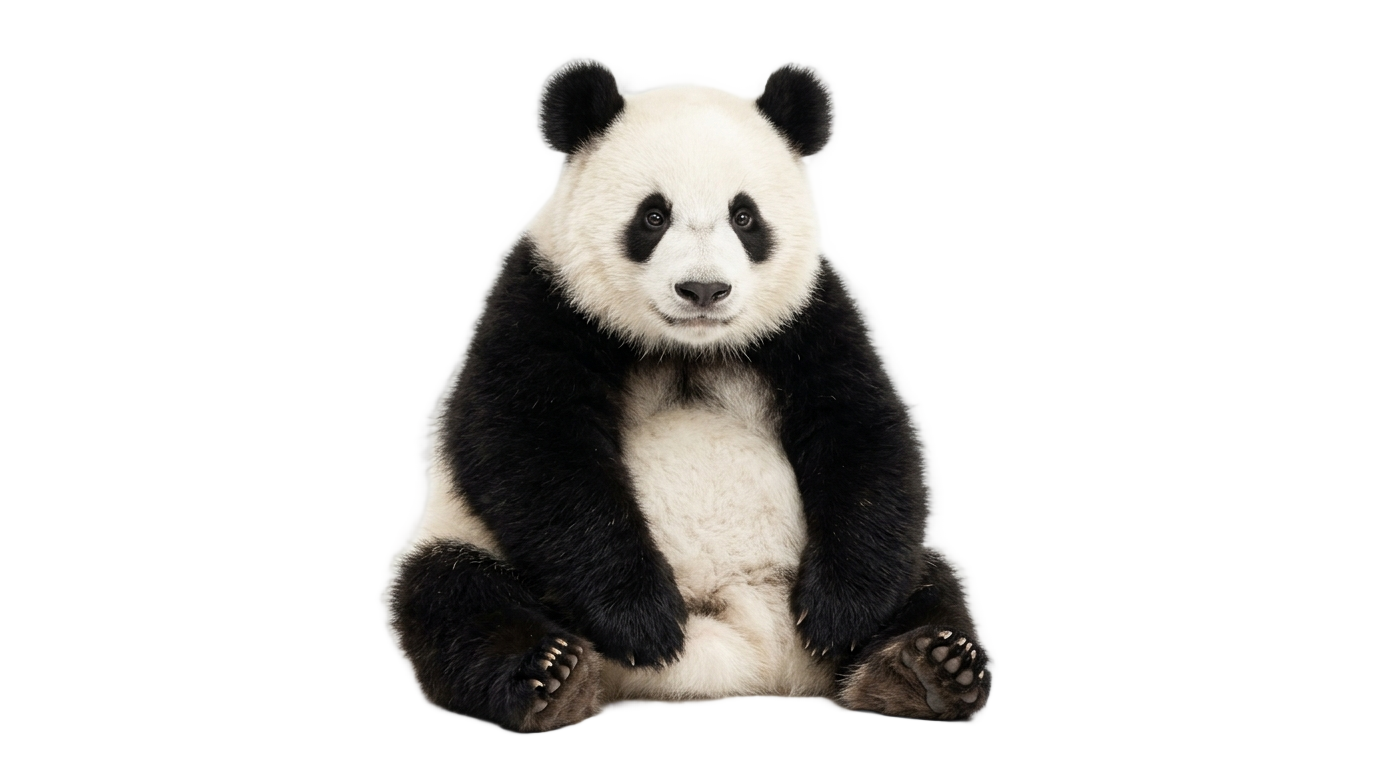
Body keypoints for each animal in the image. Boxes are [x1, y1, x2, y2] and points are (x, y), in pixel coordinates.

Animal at [387, 60, 989, 731]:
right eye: (653, 216)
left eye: (744, 217)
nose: (703, 290)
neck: (687, 346)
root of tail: (747, 657)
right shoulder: (546, 298)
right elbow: (526, 444)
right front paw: (643, 623)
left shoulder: (808, 317)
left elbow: (862, 433)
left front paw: (840, 616)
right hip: (469, 540)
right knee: (452, 597)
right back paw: (551, 674)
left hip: (879, 568)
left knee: (930, 582)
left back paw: (925, 668)